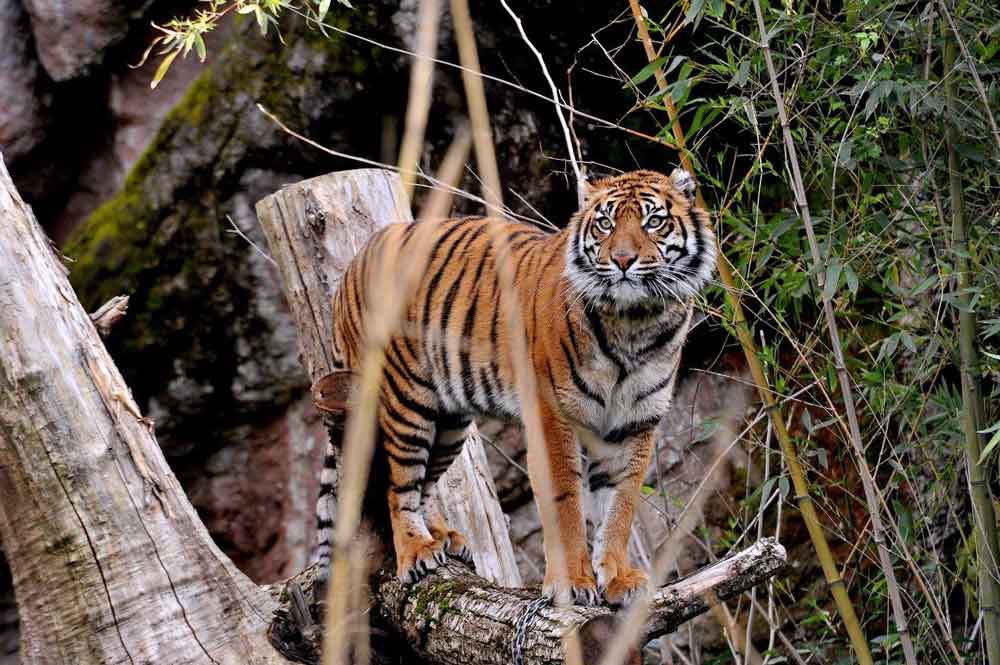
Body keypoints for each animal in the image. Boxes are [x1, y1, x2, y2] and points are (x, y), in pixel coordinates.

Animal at [316, 167, 716, 608]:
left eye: (653, 222)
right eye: (605, 224)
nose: (623, 260)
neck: (635, 323)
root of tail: (355, 262)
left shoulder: (635, 423)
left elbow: (620, 505)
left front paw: (619, 579)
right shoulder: (553, 414)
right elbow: (565, 501)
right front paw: (571, 582)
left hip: (449, 420)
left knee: (425, 483)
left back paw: (441, 536)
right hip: (406, 399)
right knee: (397, 483)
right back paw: (416, 552)